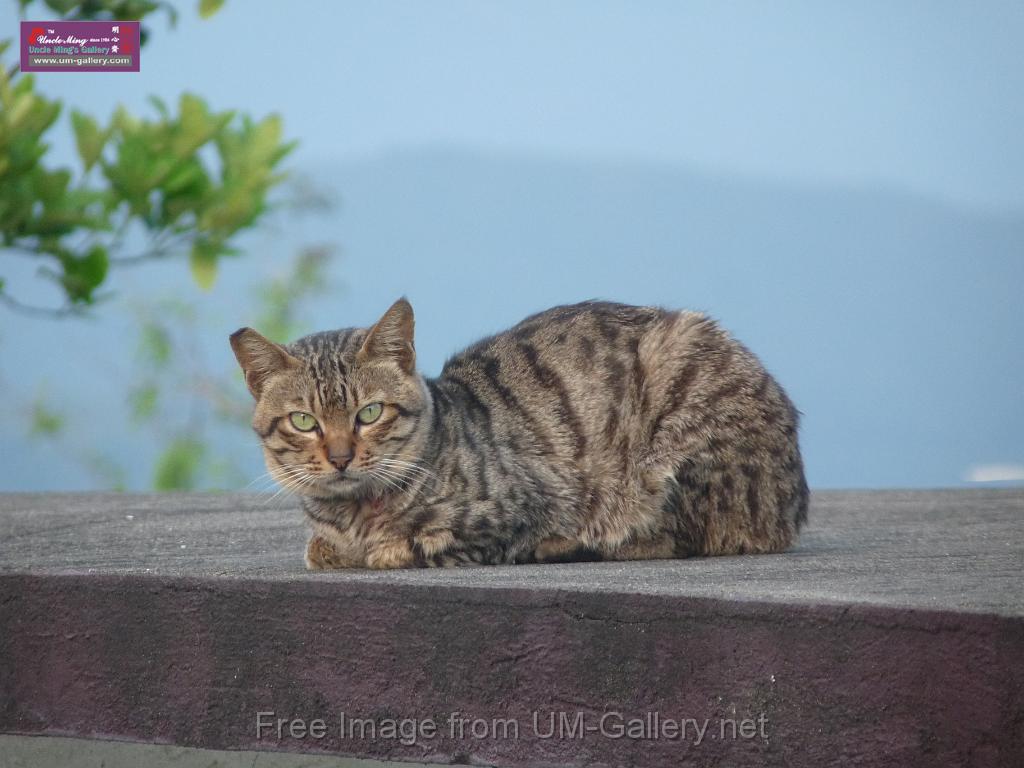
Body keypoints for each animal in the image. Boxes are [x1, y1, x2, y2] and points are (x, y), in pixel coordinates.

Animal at [230, 301, 806, 573]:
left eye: (369, 413)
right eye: (304, 422)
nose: (341, 457)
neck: (352, 513)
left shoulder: (508, 512)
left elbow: (405, 545)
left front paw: (378, 547)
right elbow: (321, 548)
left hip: (681, 452)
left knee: (679, 535)